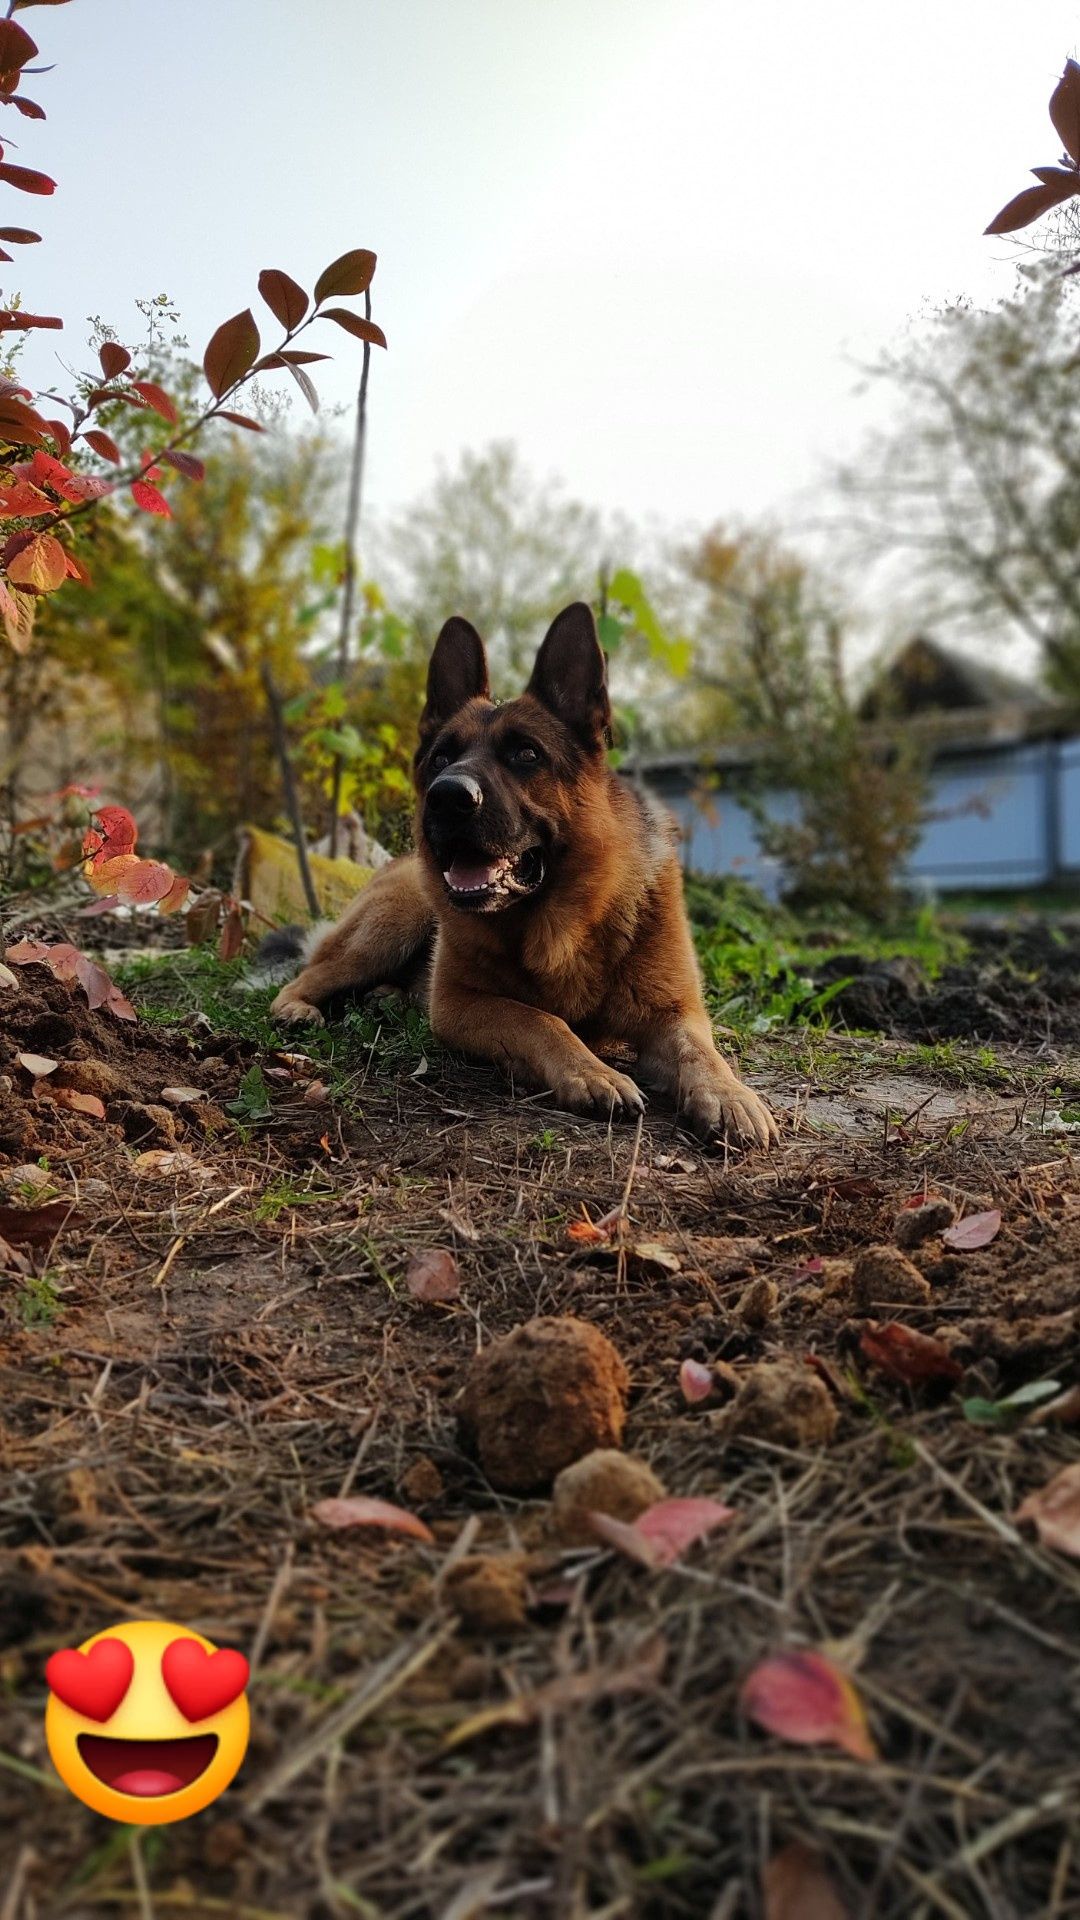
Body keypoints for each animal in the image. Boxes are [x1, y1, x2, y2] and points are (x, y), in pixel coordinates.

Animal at [269, 599, 772, 1144]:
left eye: (527, 753)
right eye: (442, 756)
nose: (446, 797)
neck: (564, 924)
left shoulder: (673, 1013)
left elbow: (700, 1051)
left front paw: (728, 1094)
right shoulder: (460, 1003)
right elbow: (539, 1019)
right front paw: (591, 1071)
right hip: (393, 922)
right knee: (306, 974)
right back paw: (296, 1007)